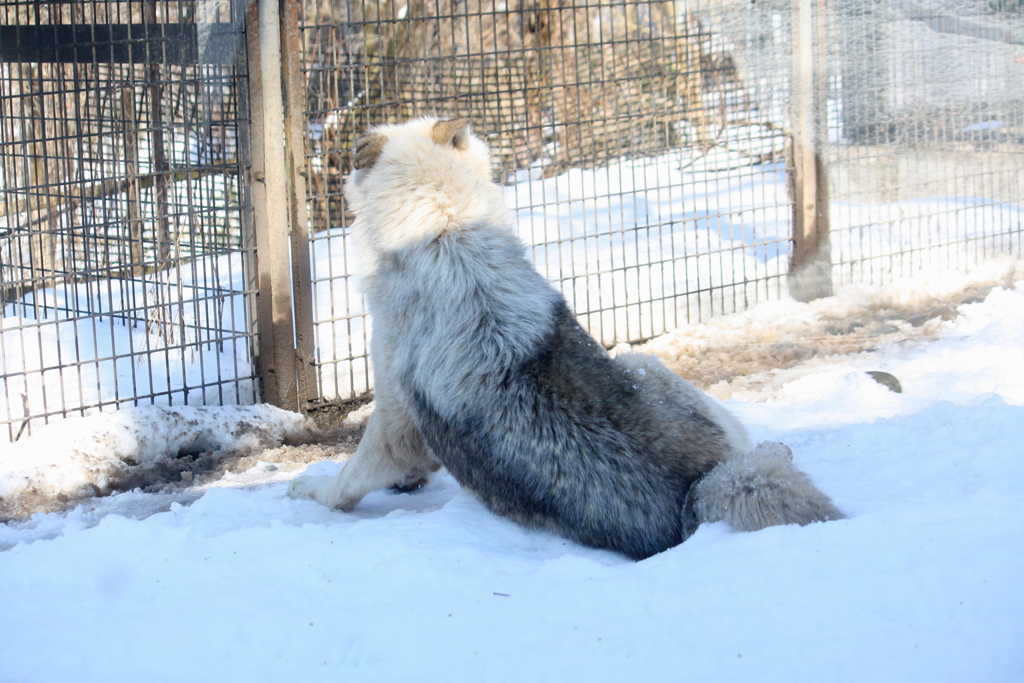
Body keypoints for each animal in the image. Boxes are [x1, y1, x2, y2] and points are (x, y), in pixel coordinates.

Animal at [286, 114, 839, 557]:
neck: (444, 226)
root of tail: (698, 488)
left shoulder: (394, 418)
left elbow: (347, 480)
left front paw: (310, 491)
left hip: (639, 361)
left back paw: (774, 450)